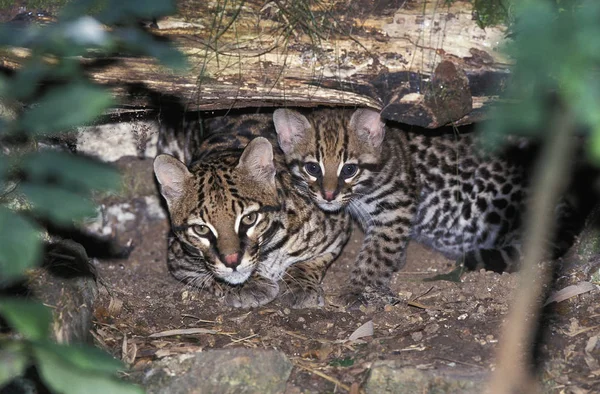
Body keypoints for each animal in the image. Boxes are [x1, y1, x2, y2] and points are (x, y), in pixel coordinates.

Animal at [155, 114, 352, 308]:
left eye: (249, 218)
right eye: (201, 229)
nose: (232, 261)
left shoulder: (337, 229)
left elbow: (312, 261)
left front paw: (301, 284)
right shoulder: (177, 255)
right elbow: (206, 271)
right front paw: (249, 285)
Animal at [274, 107, 576, 304]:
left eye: (349, 170)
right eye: (312, 168)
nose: (328, 195)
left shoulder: (397, 207)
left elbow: (378, 251)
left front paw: (361, 288)